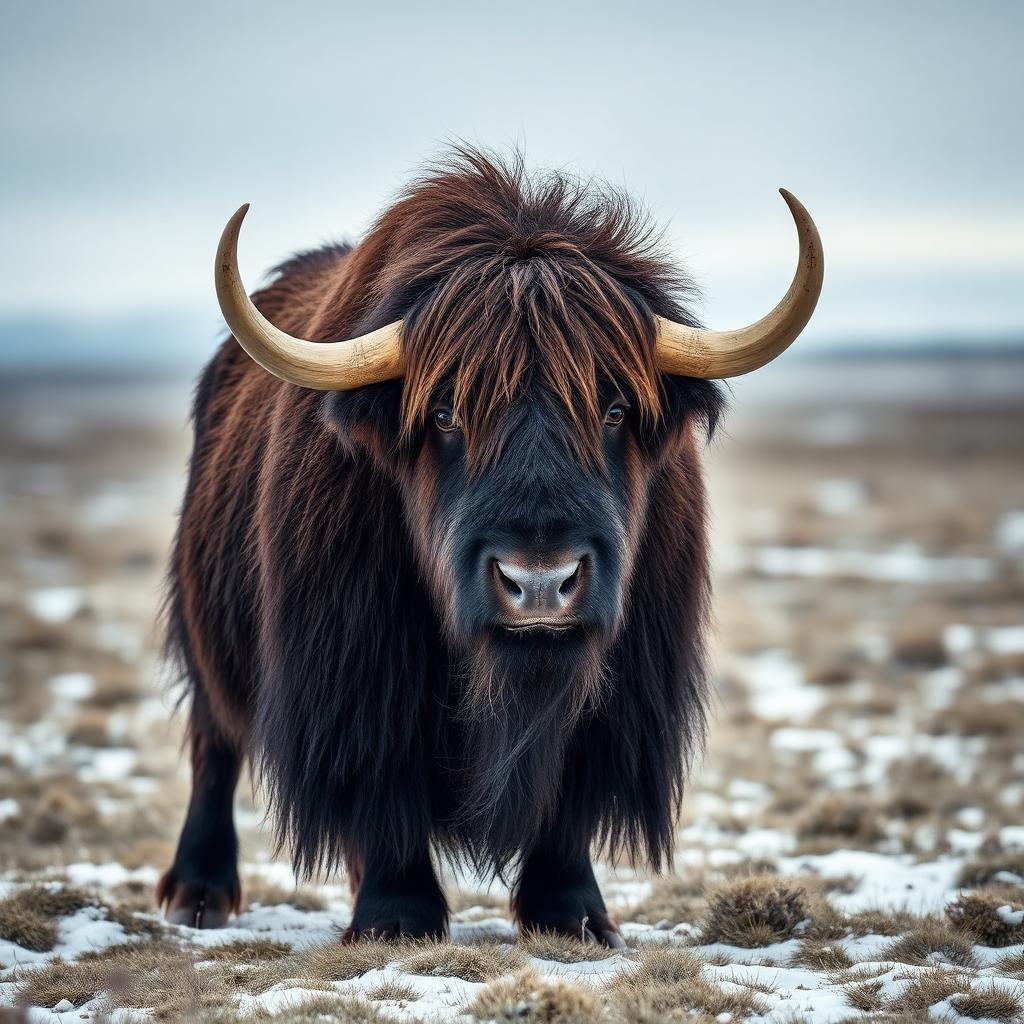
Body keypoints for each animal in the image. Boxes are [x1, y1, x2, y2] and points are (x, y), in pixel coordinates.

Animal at [157, 149, 822, 945]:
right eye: (445, 413)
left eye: (614, 409)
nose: (539, 584)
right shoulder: (357, 676)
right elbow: (384, 787)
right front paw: (395, 921)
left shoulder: (616, 697)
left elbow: (567, 801)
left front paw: (575, 918)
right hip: (209, 634)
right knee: (214, 744)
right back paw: (197, 893)